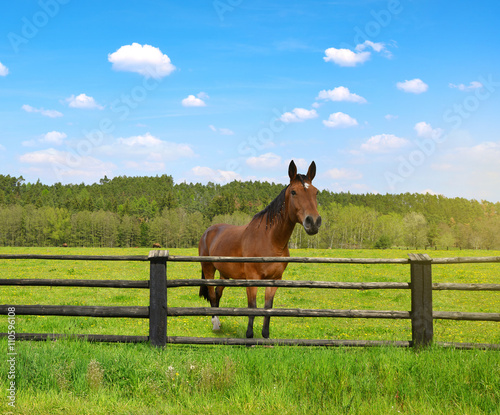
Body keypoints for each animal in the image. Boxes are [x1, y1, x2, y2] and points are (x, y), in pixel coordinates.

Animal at [197, 161, 322, 340]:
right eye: (293, 192)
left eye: (315, 192)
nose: (313, 222)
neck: (270, 241)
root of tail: (208, 231)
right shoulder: (252, 279)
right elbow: (252, 307)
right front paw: (249, 336)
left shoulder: (275, 280)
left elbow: (268, 308)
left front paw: (265, 336)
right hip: (208, 269)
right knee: (212, 294)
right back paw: (215, 324)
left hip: (224, 273)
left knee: (218, 293)